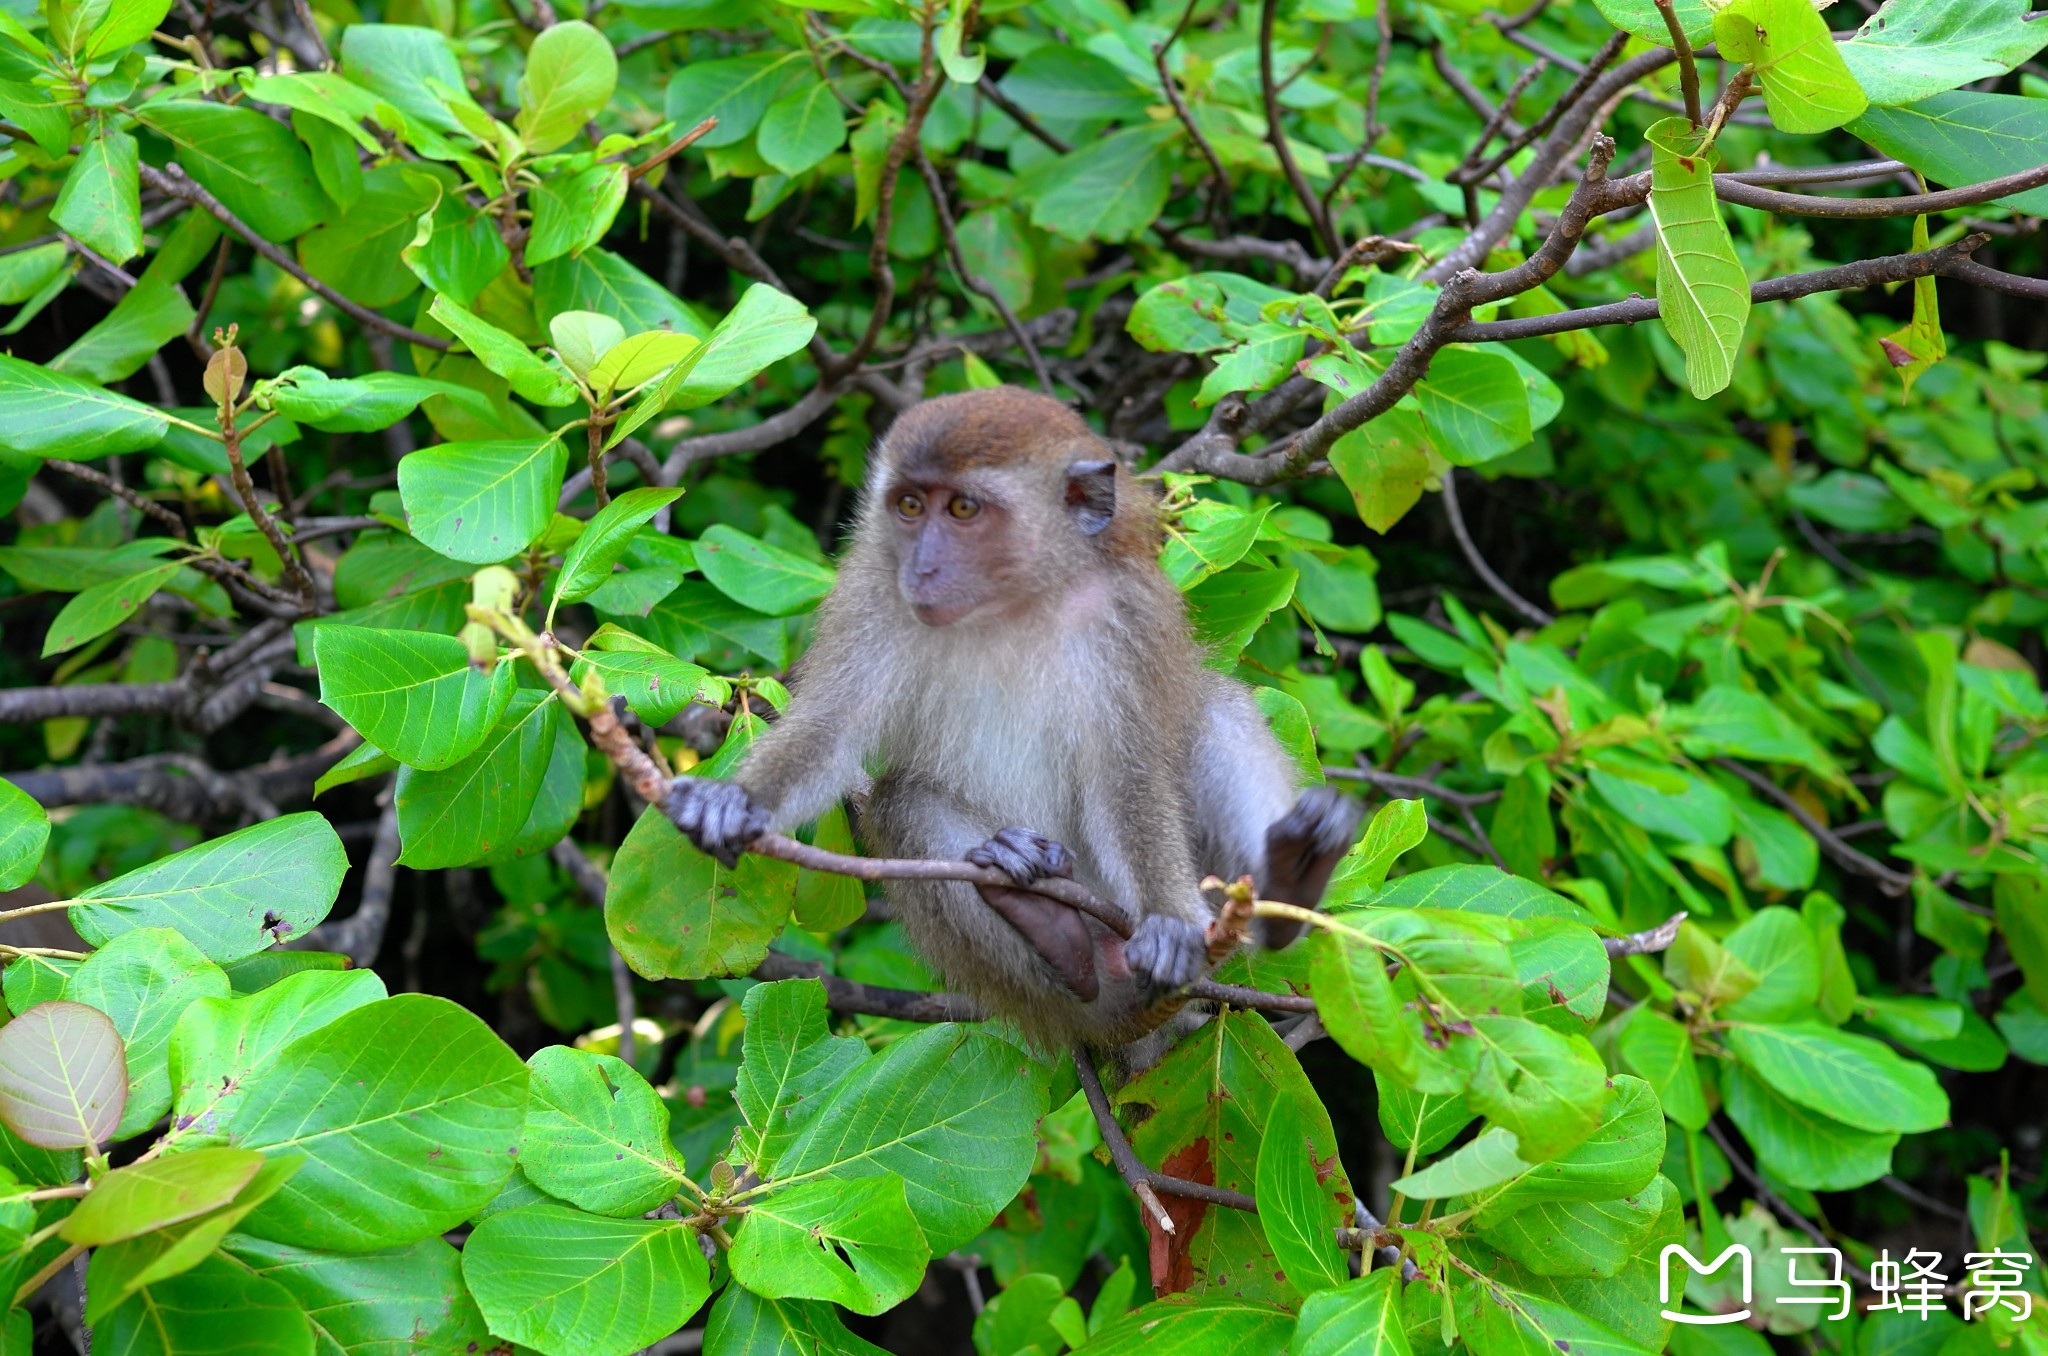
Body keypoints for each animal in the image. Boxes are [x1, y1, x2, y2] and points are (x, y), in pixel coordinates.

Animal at [671, 387, 1359, 1056]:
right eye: (910, 506)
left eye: (964, 510)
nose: (922, 567)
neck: (1009, 603)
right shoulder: (873, 592)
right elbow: (830, 731)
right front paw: (733, 801)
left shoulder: (1126, 617)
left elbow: (1130, 776)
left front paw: (1170, 921)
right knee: (903, 803)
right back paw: (1062, 943)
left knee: (1216, 710)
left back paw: (1289, 885)